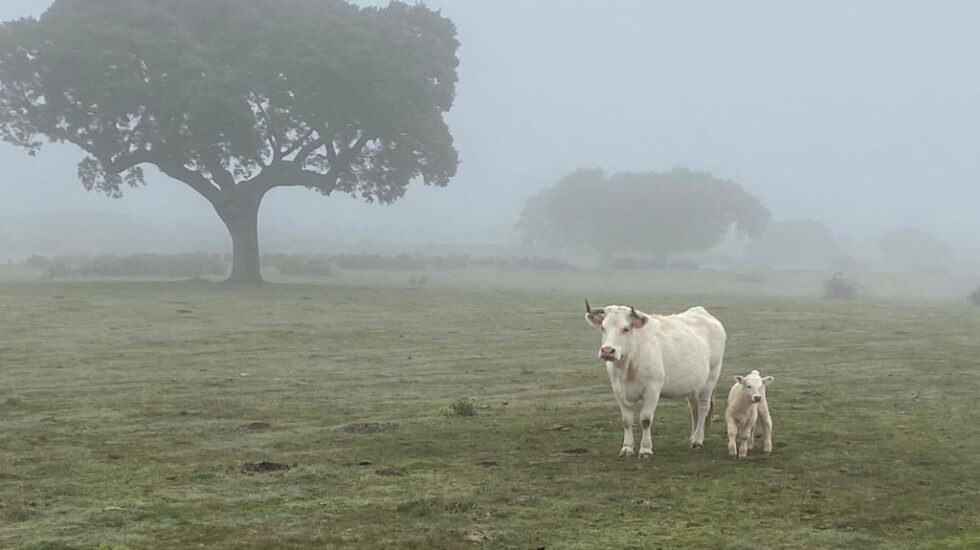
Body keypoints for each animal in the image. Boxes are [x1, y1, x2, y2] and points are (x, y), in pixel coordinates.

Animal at [580, 302, 728, 462]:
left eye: (625, 329)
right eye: (603, 327)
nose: (607, 351)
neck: (628, 365)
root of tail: (703, 313)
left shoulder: (652, 389)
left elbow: (645, 419)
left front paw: (645, 449)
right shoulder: (618, 390)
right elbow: (626, 420)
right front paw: (627, 448)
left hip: (710, 379)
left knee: (703, 408)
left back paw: (697, 440)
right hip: (694, 384)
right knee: (694, 409)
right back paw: (693, 436)